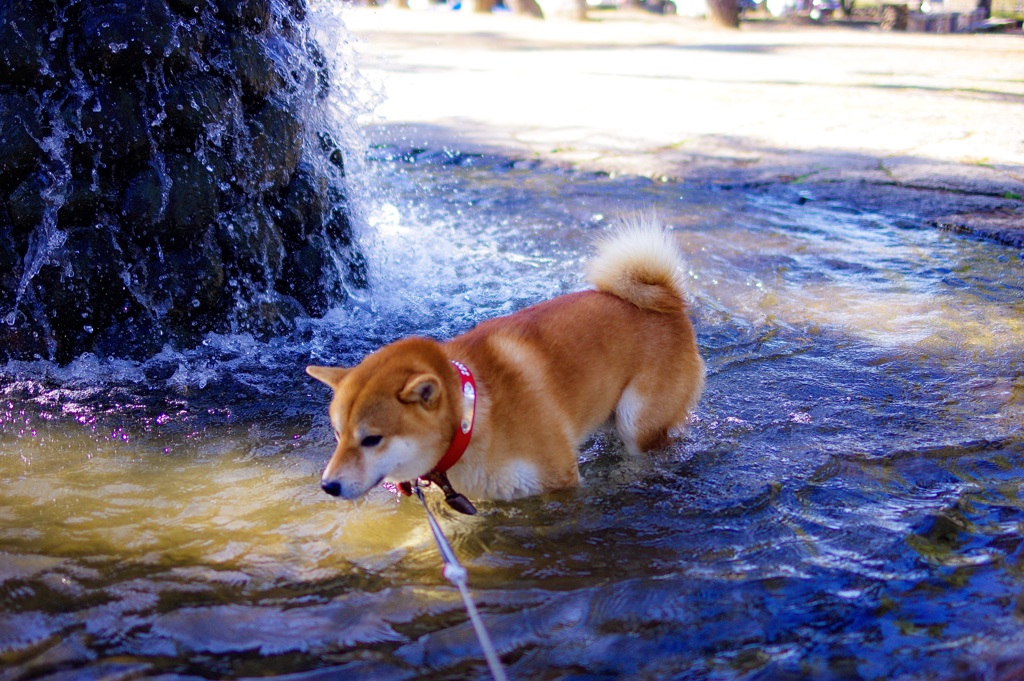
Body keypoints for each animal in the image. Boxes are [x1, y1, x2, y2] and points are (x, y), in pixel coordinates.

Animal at [303, 215, 704, 512]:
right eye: (338, 434)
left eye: (372, 439)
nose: (328, 485)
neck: (473, 416)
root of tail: (668, 304)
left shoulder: (558, 481)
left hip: (637, 421)